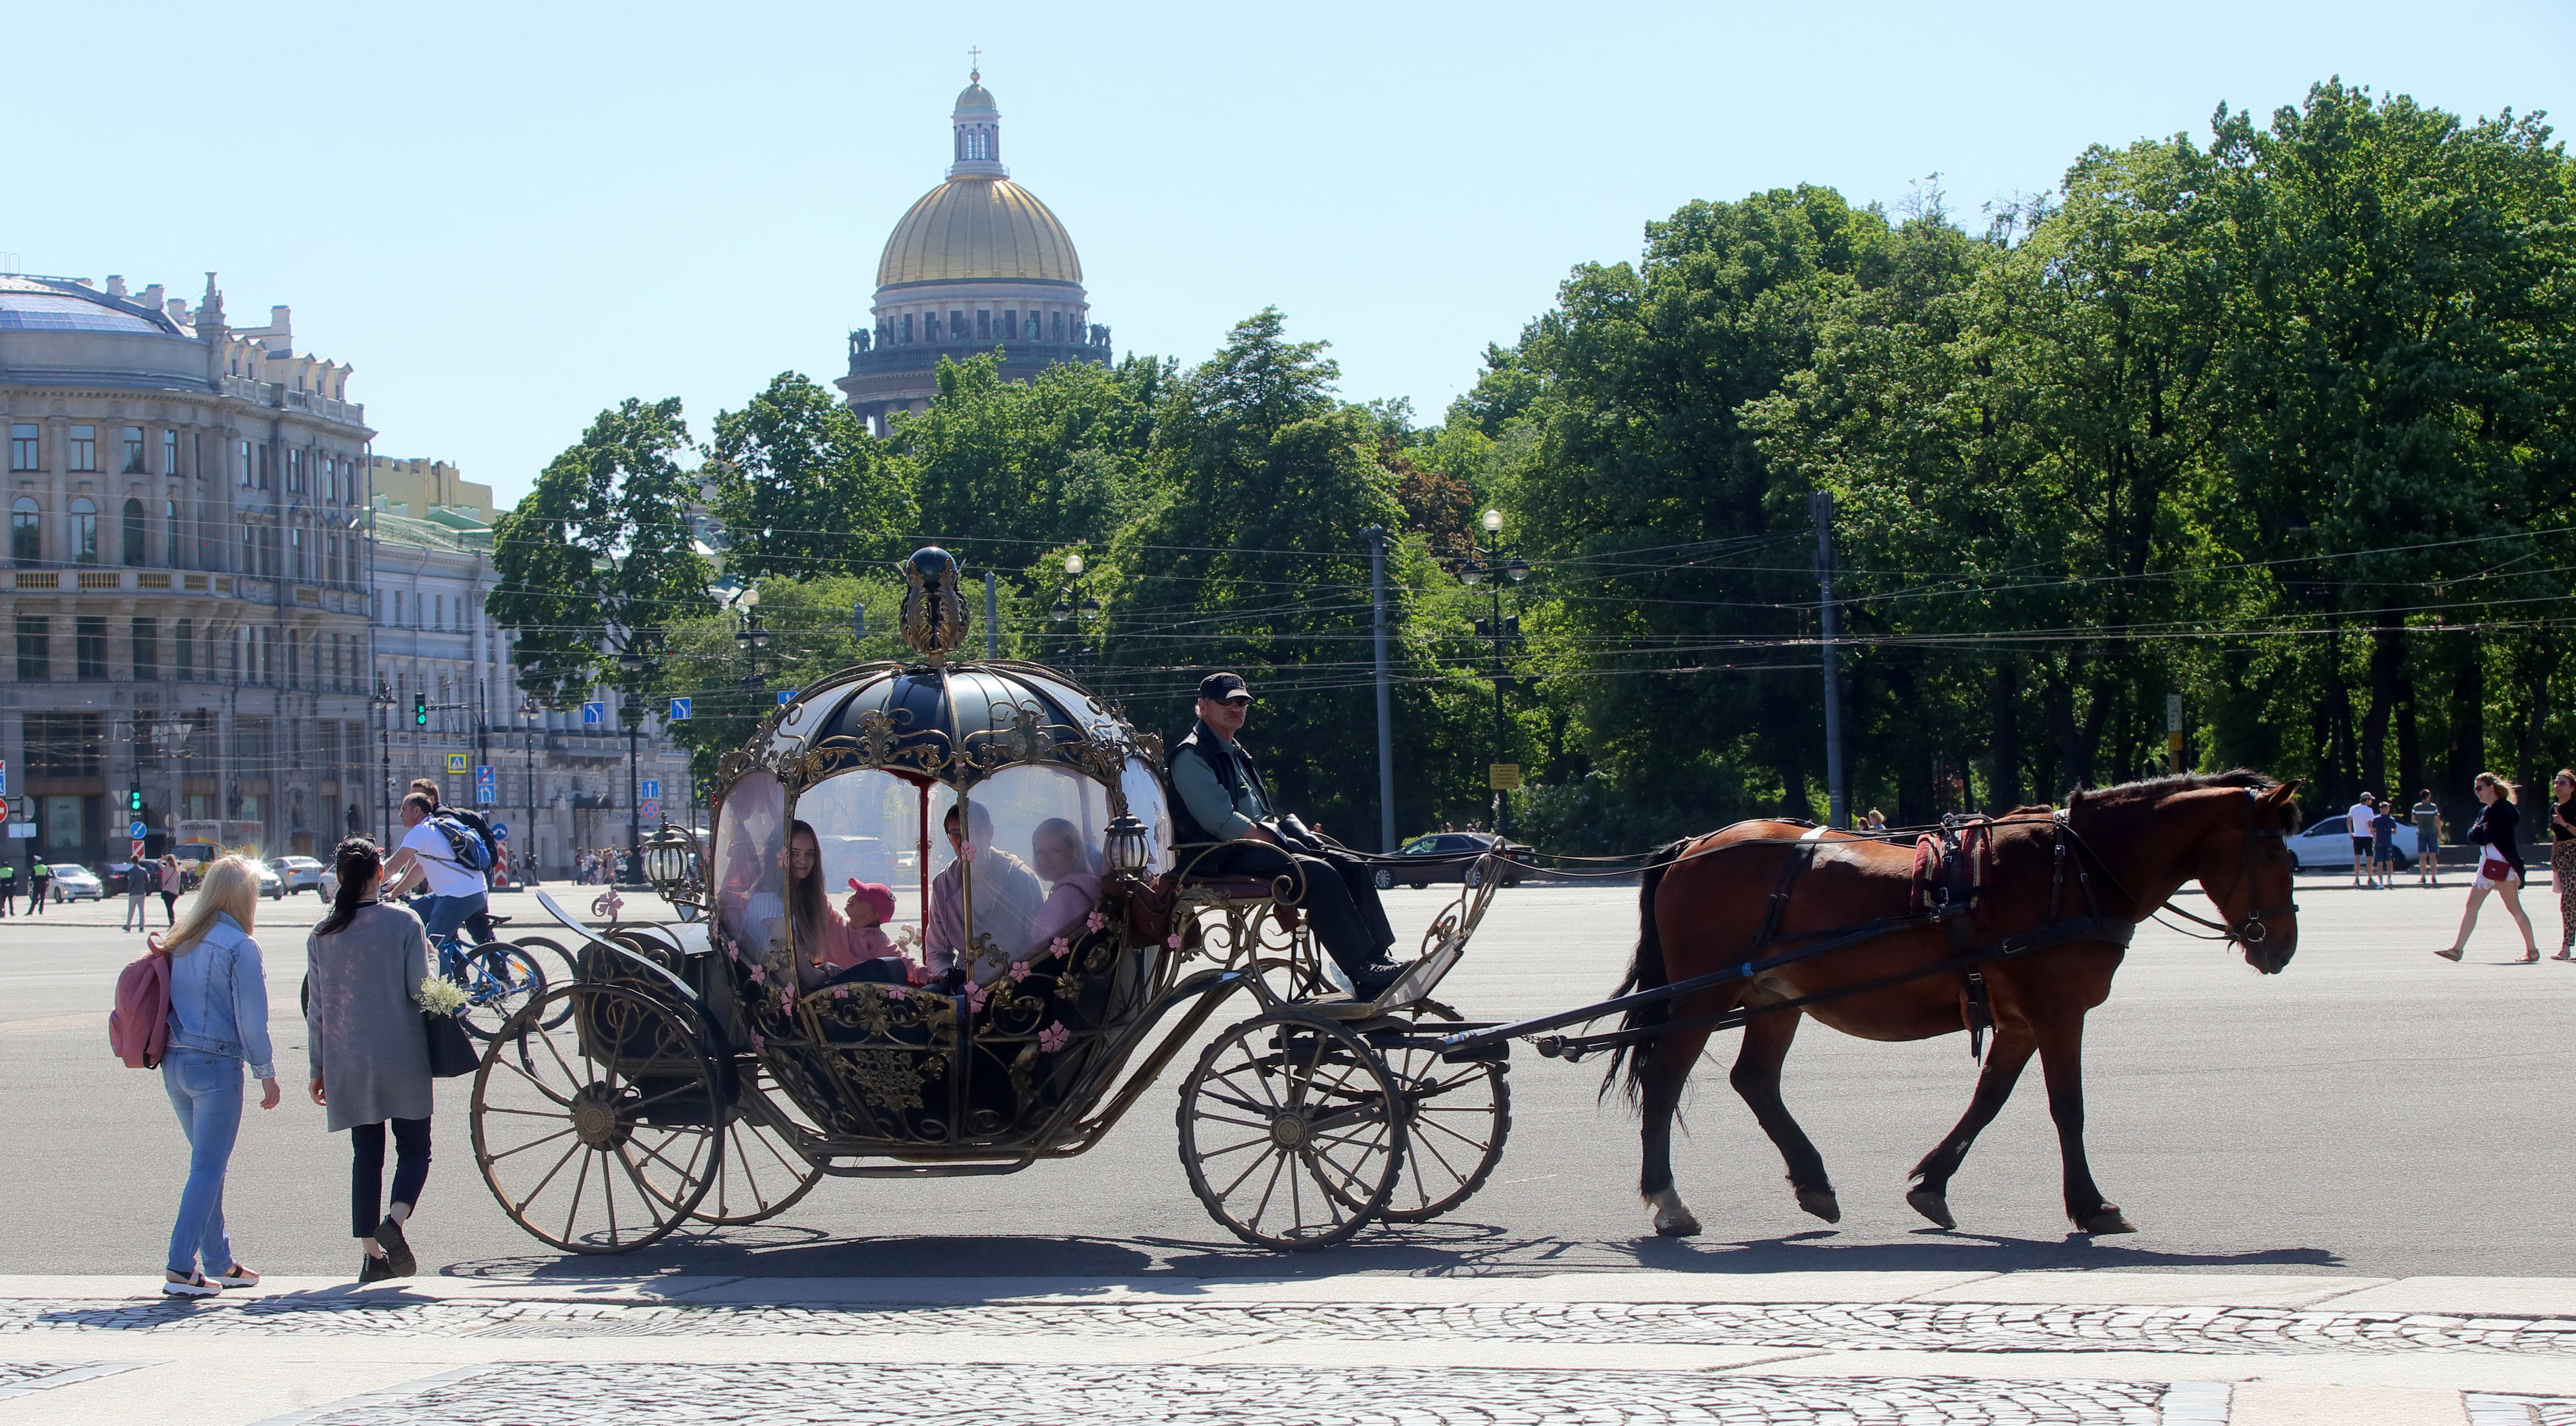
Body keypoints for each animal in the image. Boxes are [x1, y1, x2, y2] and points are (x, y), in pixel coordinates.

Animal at [1607, 768, 2298, 1232]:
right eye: (2272, 849)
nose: (2283, 946)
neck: (2073, 868)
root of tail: (1694, 845)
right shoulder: (2058, 1011)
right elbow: (2067, 1107)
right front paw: (2090, 1205)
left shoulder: (2021, 1022)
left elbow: (1989, 1099)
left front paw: (1932, 1182)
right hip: (1706, 992)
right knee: (1666, 1079)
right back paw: (1668, 1200)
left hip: (1774, 997)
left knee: (1754, 1080)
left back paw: (1812, 1179)